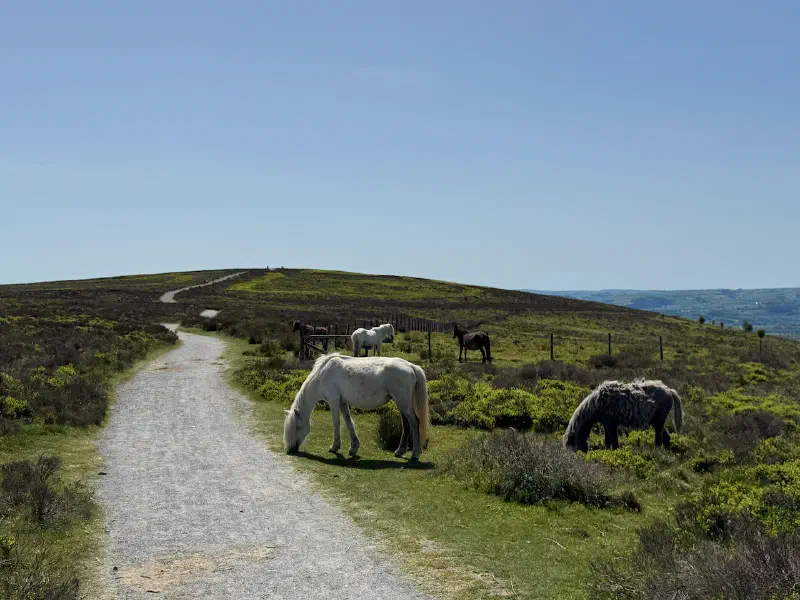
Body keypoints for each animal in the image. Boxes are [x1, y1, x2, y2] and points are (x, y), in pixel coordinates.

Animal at [283, 353, 429, 460]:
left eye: (297, 427)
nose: (291, 449)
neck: (322, 374)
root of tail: (410, 366)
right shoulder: (342, 403)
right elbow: (348, 422)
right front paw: (353, 447)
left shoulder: (333, 401)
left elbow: (336, 423)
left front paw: (334, 447)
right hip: (401, 404)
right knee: (406, 425)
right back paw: (399, 451)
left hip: (403, 403)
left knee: (415, 423)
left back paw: (415, 454)